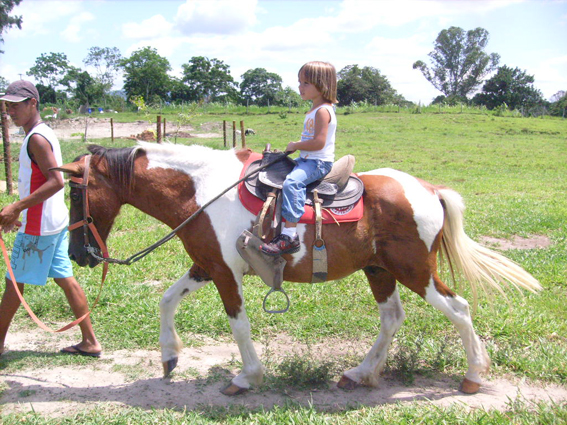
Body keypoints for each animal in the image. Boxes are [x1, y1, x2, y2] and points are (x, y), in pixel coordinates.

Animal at [56, 142, 540, 394]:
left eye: (74, 193)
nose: (79, 254)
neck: (201, 190)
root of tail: (430, 189)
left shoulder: (226, 274)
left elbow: (239, 326)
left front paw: (246, 377)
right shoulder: (206, 264)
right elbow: (166, 299)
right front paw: (169, 357)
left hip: (415, 271)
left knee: (459, 310)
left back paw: (473, 376)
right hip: (380, 271)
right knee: (392, 318)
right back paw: (361, 373)